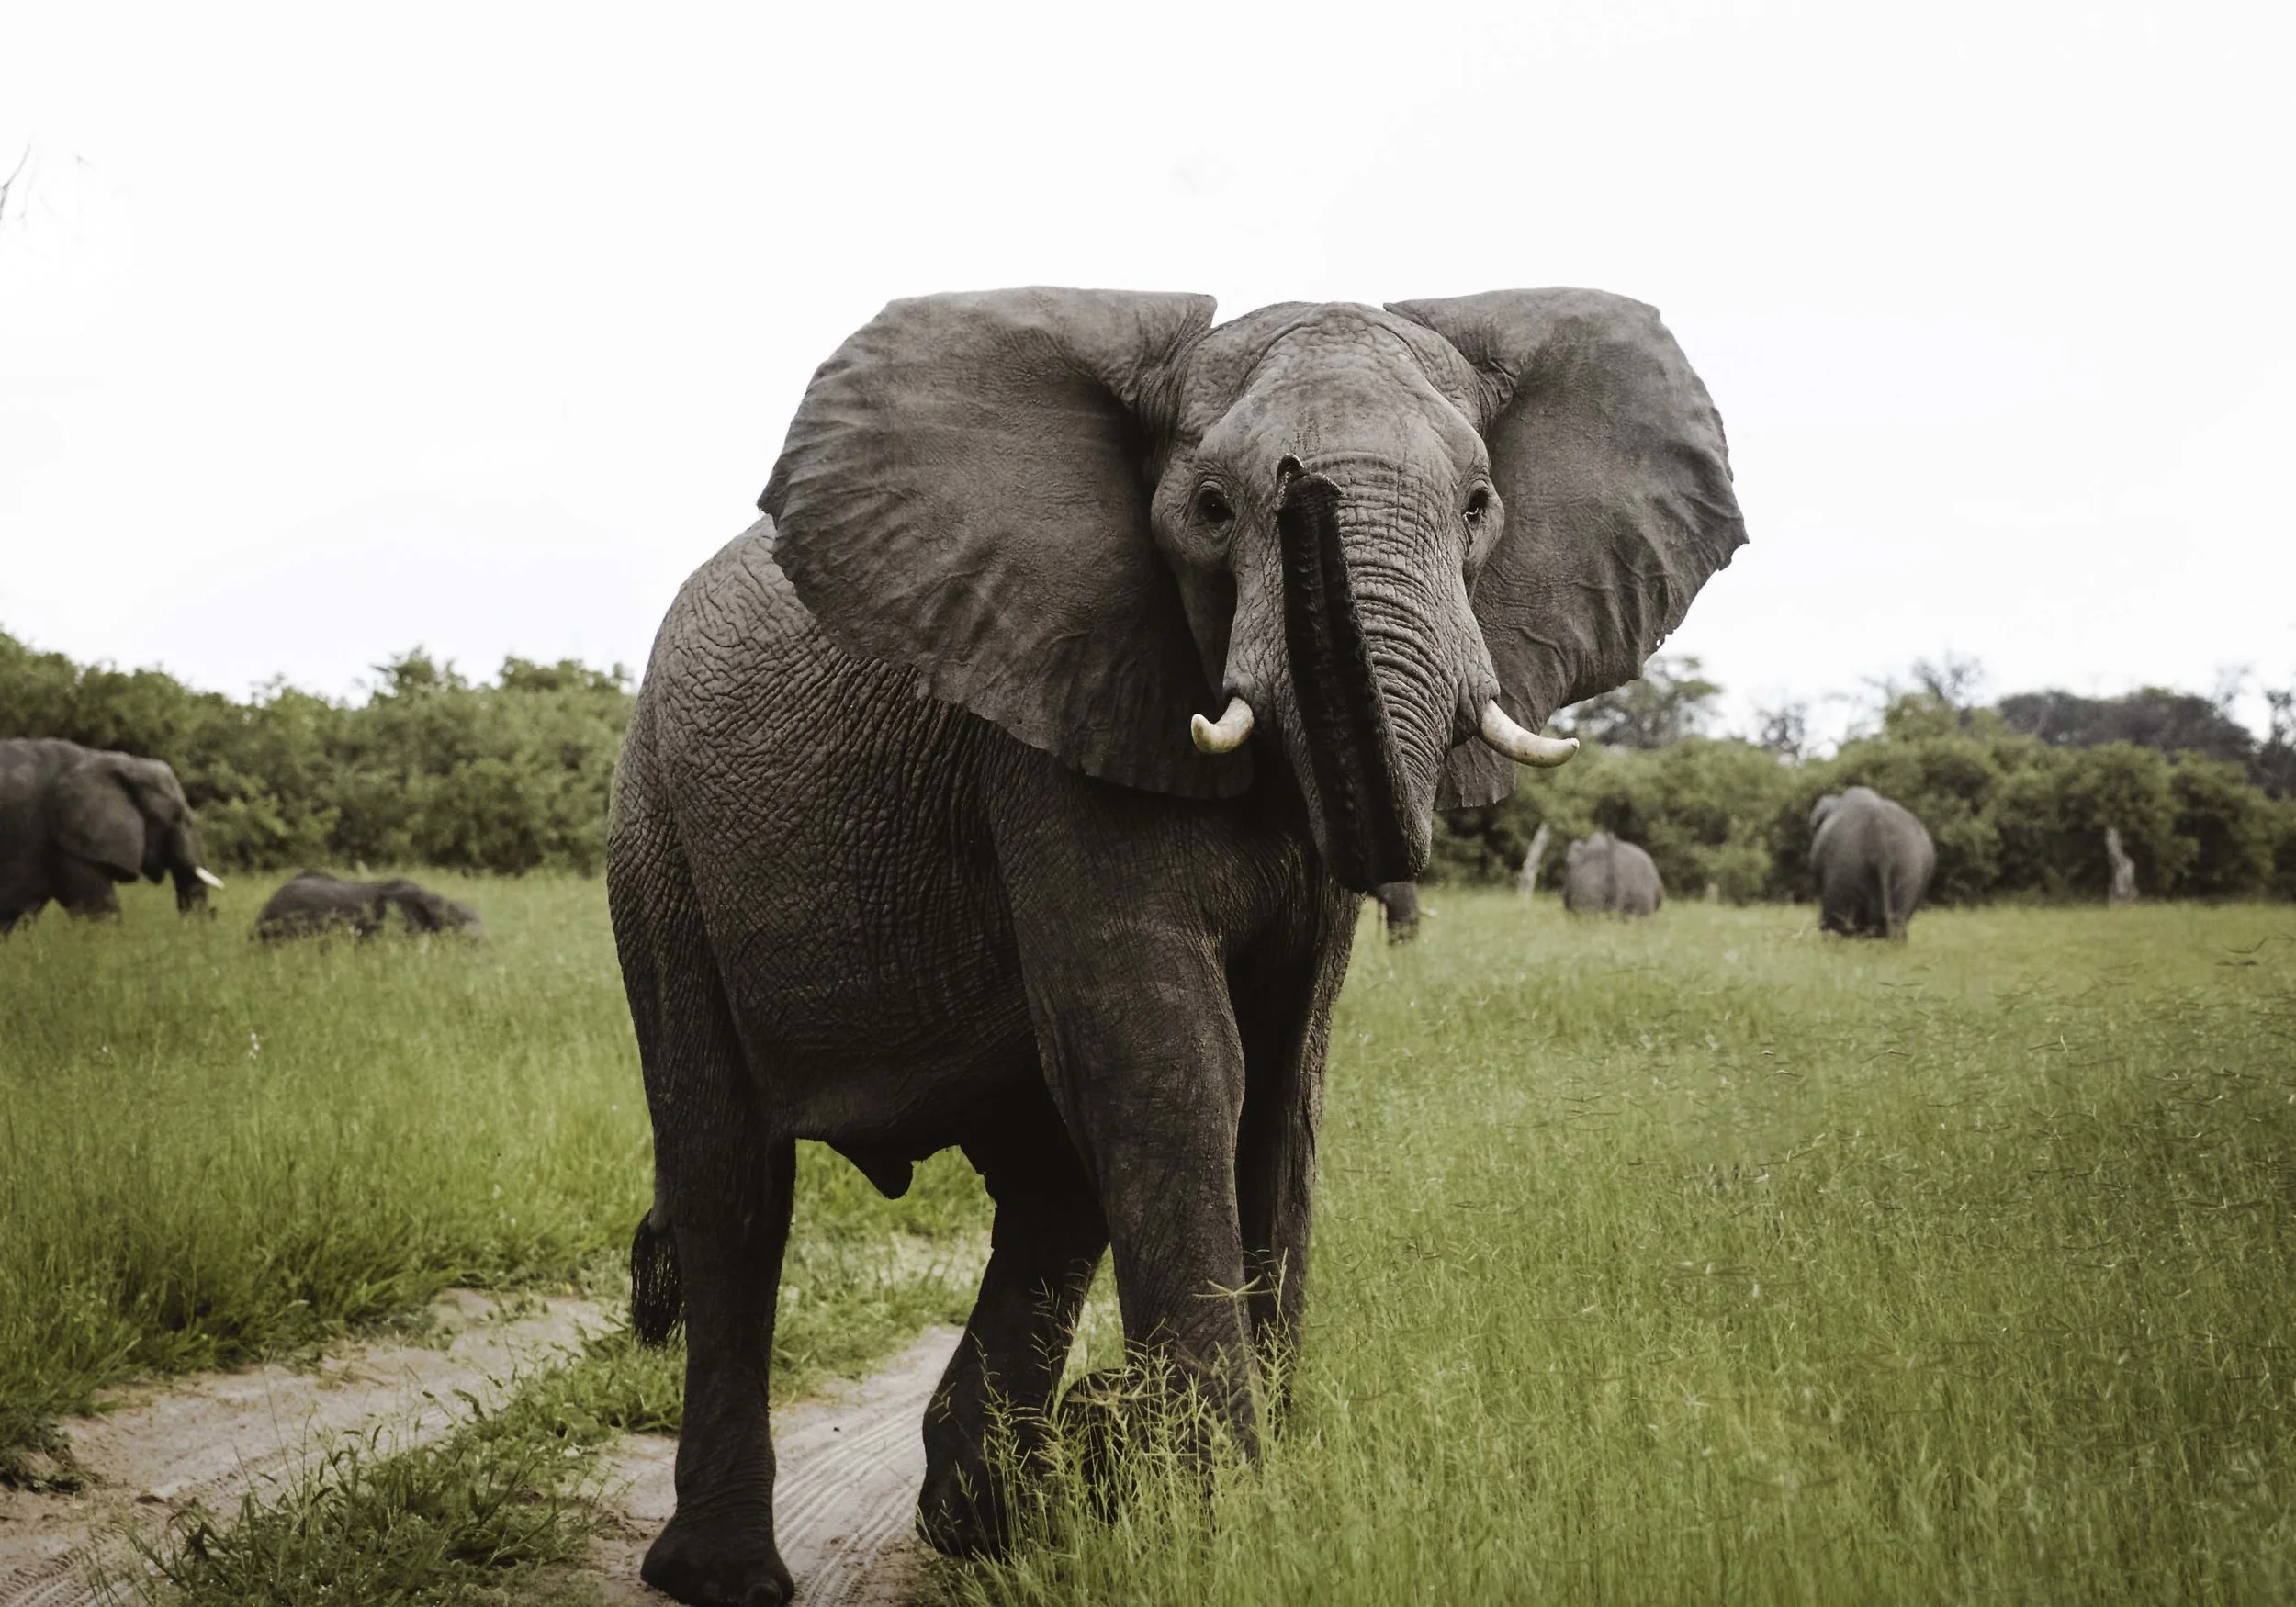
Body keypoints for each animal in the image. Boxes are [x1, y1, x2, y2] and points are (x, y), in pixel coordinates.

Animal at [609, 285, 1744, 1605]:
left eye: (1478, 505)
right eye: (1210, 510)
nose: (1304, 484)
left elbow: (1286, 1079)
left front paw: (1220, 1490)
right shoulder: (1055, 722)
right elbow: (1171, 1057)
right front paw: (1222, 1521)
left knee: (1048, 1187)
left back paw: (988, 1517)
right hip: (656, 833)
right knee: (730, 1177)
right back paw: (739, 1573)